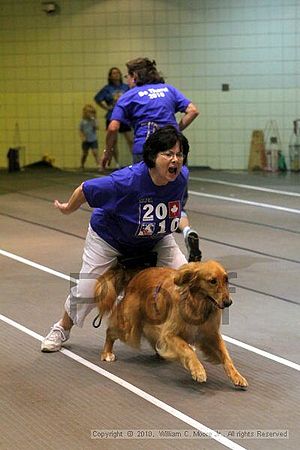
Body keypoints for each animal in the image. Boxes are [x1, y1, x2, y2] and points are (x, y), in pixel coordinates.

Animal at [94, 260, 248, 390]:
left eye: (226, 280)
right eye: (212, 281)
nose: (228, 302)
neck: (197, 304)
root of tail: (137, 274)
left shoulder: (211, 335)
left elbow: (226, 356)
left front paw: (237, 376)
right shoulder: (170, 334)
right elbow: (188, 349)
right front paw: (198, 370)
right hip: (129, 327)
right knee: (110, 331)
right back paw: (107, 353)